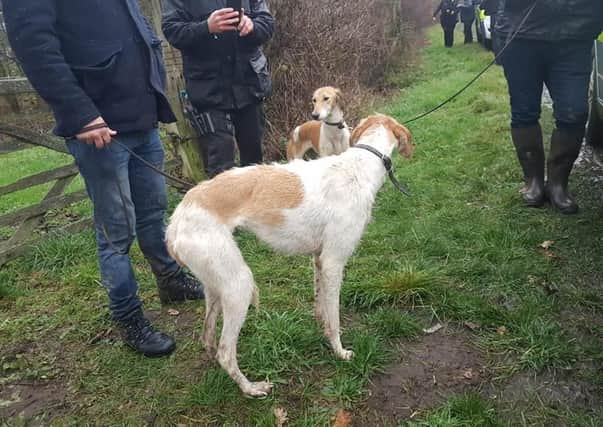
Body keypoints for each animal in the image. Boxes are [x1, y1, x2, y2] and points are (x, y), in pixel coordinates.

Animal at [168, 113, 418, 398]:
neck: (358, 167)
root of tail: (176, 218)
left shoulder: (319, 260)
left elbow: (322, 307)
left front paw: (322, 328)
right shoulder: (333, 263)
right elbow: (334, 317)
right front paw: (339, 351)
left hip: (215, 285)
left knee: (208, 337)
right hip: (239, 285)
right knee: (225, 352)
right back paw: (251, 388)